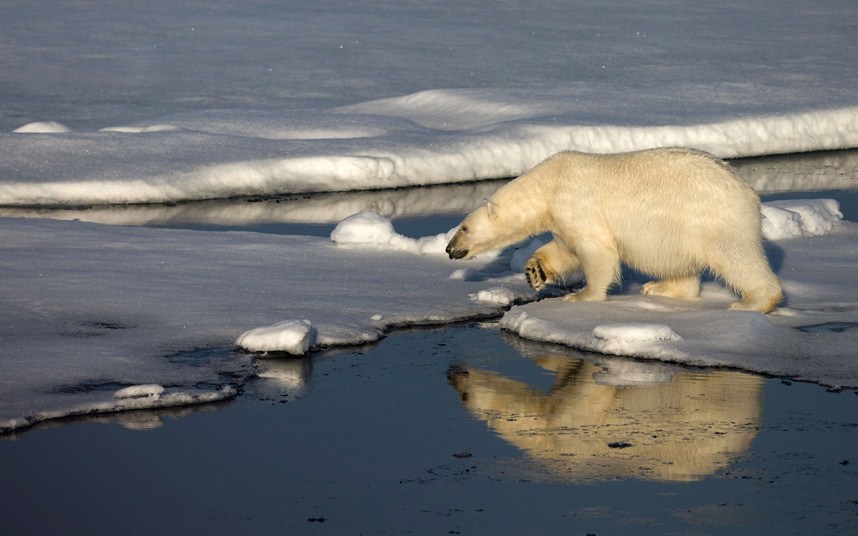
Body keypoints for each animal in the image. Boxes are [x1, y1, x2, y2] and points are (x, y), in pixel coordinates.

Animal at [448, 148, 784, 314]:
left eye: (464, 227)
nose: (450, 249)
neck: (550, 182)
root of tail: (749, 193)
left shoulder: (576, 202)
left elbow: (596, 251)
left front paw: (582, 296)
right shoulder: (561, 217)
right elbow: (564, 249)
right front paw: (535, 272)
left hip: (715, 218)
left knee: (735, 257)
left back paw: (752, 302)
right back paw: (660, 288)